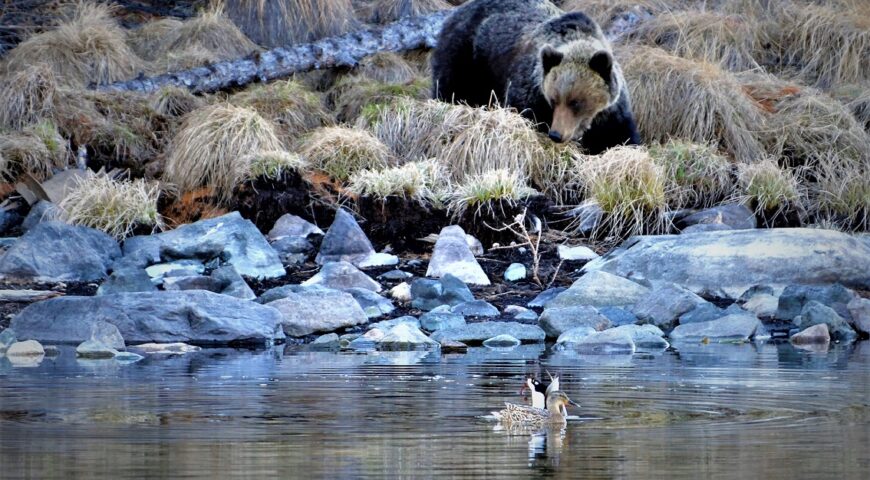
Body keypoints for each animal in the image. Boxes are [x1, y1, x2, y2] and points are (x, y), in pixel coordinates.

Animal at [431, 0, 641, 154]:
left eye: (575, 102)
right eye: (553, 100)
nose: (556, 134)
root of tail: (459, 9)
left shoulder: (611, 113)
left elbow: (619, 137)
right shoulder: (530, 93)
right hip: (466, 56)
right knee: (452, 87)